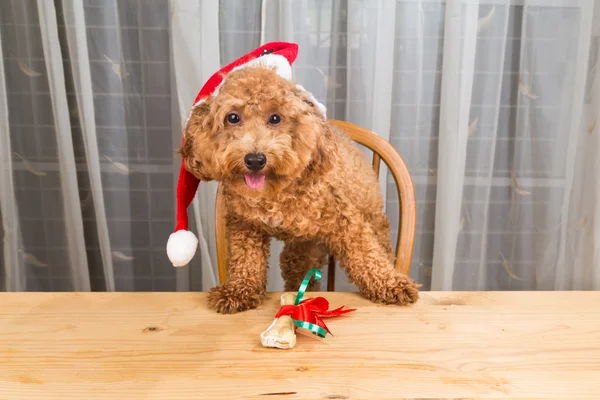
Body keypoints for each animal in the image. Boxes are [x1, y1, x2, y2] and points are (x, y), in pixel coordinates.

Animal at [180, 67, 420, 314]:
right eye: (233, 117)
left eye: (275, 118)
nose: (255, 160)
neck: (275, 192)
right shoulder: (244, 225)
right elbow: (246, 260)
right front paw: (237, 291)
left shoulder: (345, 220)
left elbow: (365, 254)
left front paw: (390, 284)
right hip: (301, 252)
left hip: (369, 226)